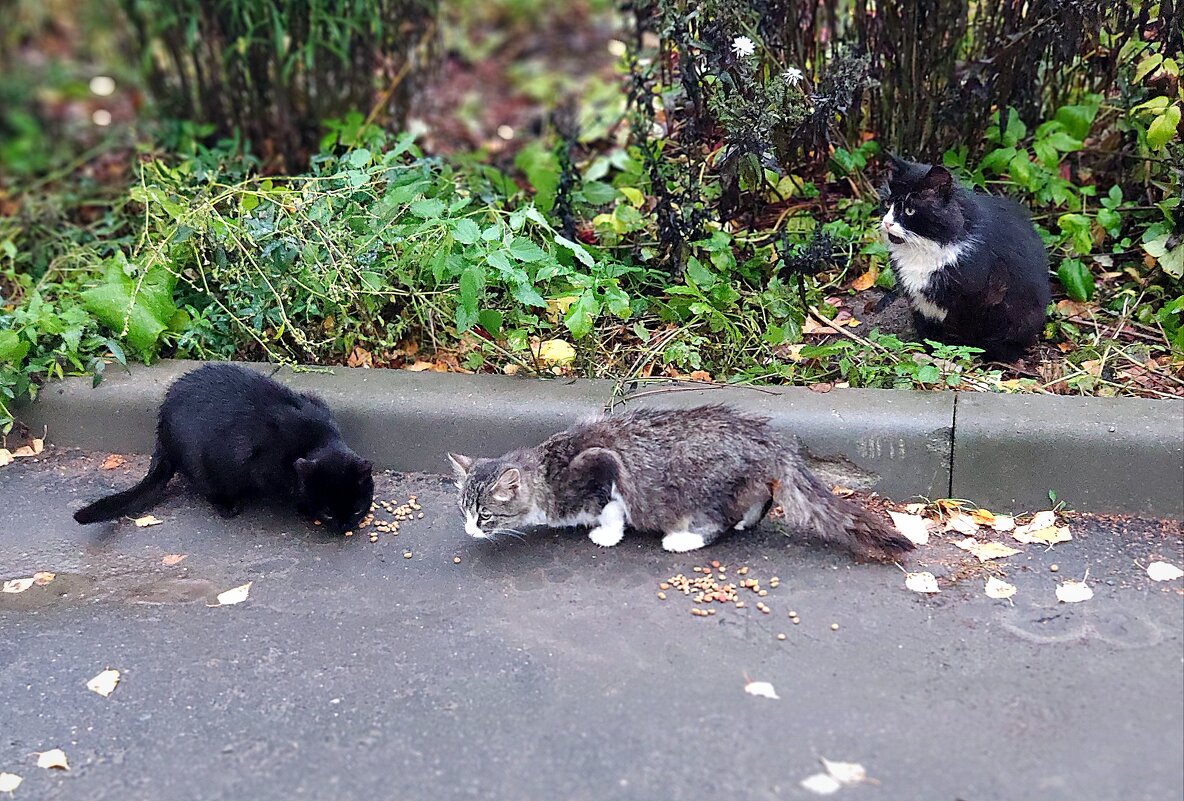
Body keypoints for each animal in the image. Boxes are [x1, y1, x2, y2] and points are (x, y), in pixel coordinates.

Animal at [75, 362, 369, 530]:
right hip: (203, 465)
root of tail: (161, 429)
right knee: (209, 488)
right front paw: (304, 506)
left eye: (357, 509)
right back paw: (228, 506)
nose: (344, 526)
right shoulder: (263, 467)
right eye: (328, 514)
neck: (316, 439)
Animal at [447, 407, 909, 556]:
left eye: (484, 516)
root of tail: (765, 438)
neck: (545, 470)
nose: (469, 531)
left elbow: (612, 508)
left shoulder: (602, 469)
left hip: (703, 490)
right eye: (465, 512)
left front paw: (606, 534)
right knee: (761, 498)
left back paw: (682, 539)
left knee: (717, 524)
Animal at [876, 154, 1051, 359]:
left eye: (909, 210)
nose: (887, 223)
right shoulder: (917, 302)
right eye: (887, 204)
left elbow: (964, 336)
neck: (922, 250)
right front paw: (932, 351)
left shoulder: (976, 298)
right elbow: (928, 333)